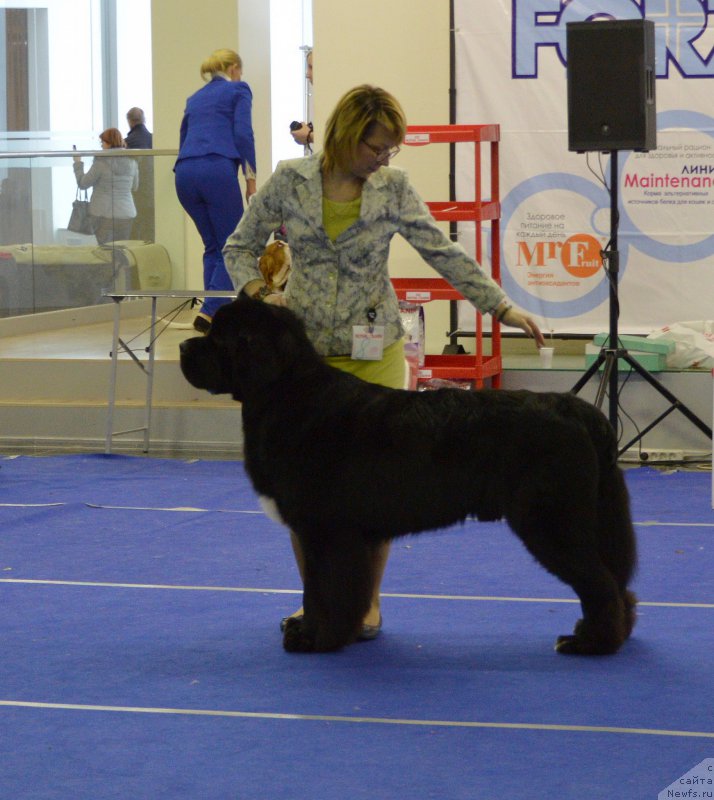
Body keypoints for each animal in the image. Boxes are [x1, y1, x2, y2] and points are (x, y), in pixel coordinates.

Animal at [179, 296, 636, 656]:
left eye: (219, 338)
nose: (182, 345)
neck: (288, 393)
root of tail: (577, 409)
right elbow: (327, 587)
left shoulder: (326, 529)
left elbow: (322, 588)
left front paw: (313, 638)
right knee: (615, 580)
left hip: (551, 520)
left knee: (599, 582)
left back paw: (591, 643)